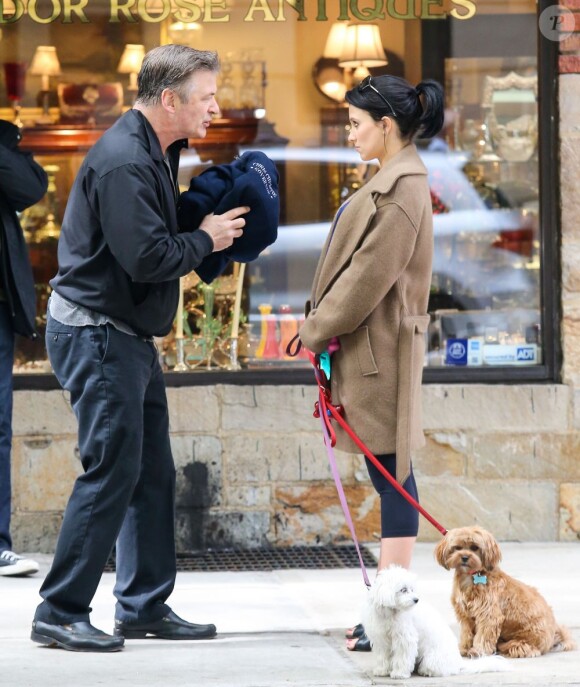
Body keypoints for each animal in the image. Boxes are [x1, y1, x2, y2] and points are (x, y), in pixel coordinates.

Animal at [364, 568, 510, 680]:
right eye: (403, 590)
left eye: (411, 589)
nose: (416, 599)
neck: (390, 612)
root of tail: (459, 662)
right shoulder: (381, 640)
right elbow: (382, 656)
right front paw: (382, 670)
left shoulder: (405, 640)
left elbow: (402, 658)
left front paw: (399, 673)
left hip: (431, 659)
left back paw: (425, 672)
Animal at [436, 528, 576, 660]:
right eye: (457, 547)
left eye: (475, 547)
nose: (464, 557)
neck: (472, 576)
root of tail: (554, 635)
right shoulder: (465, 615)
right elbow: (466, 634)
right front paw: (464, 649)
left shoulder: (489, 615)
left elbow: (483, 635)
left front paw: (478, 651)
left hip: (524, 639)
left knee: (522, 648)